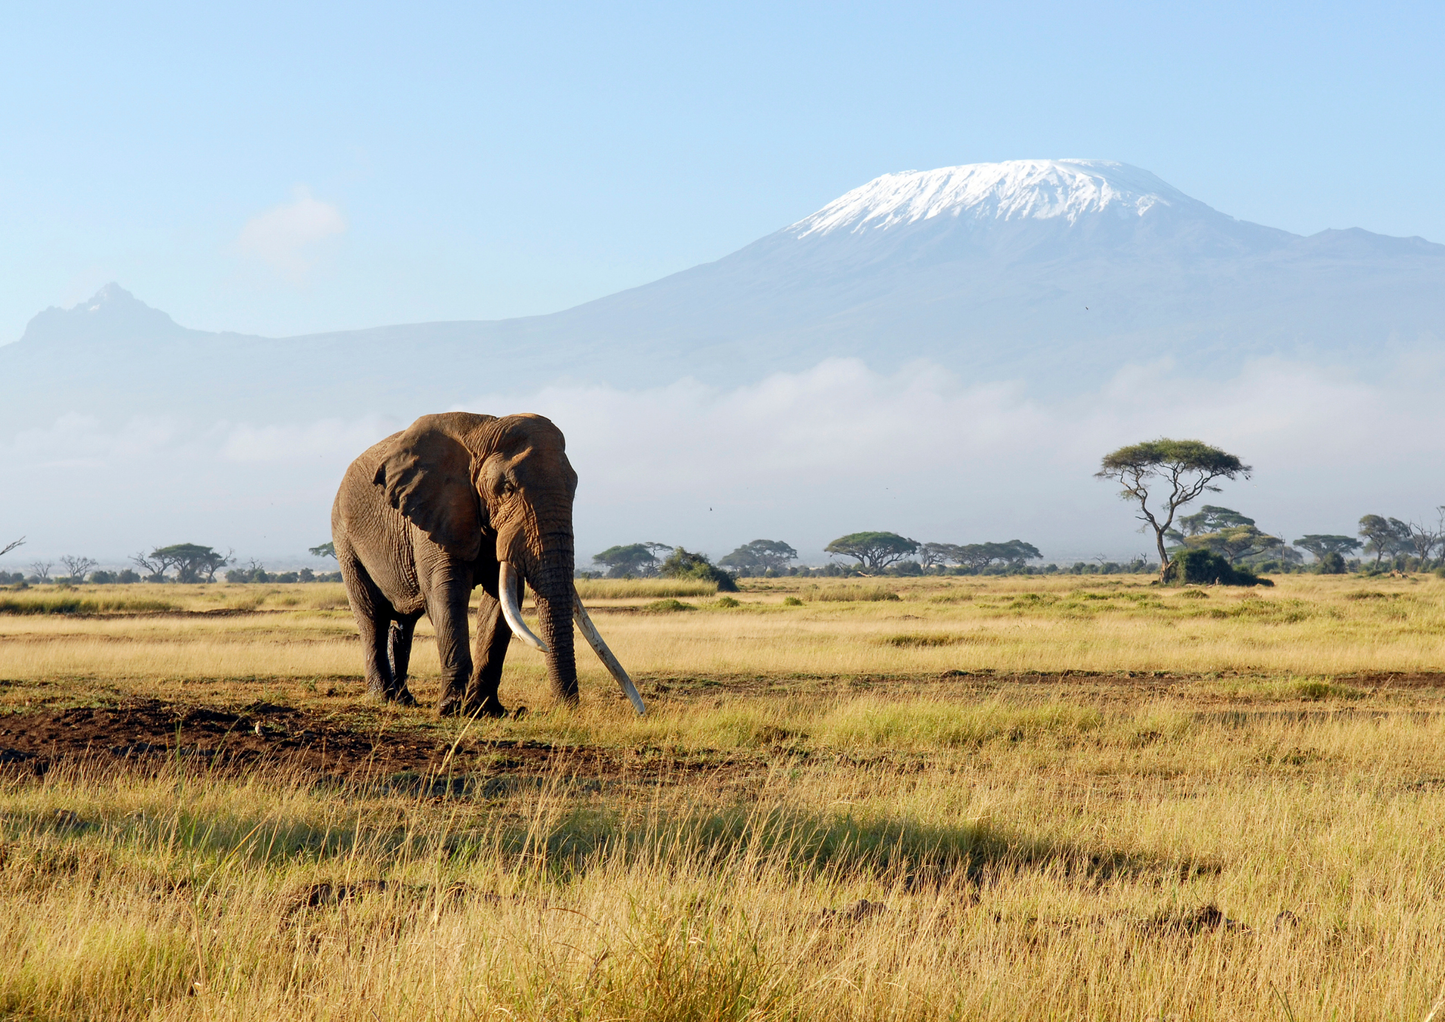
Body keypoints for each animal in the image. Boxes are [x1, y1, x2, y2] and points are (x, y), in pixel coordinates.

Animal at [331, 411, 644, 717]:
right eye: (507, 488)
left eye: (574, 488)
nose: (566, 708)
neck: (482, 432)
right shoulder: (438, 509)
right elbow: (448, 592)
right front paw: (453, 709)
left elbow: (501, 602)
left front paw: (486, 709)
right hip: (344, 538)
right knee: (372, 616)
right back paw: (382, 697)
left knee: (403, 624)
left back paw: (404, 700)